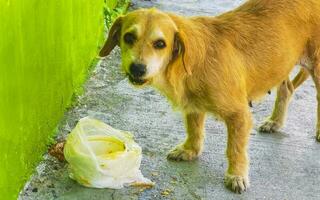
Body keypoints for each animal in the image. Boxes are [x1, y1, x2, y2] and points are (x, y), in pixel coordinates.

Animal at [99, 0, 320, 194]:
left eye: (160, 43)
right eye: (128, 37)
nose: (137, 68)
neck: (192, 61)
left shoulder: (239, 115)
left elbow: (235, 149)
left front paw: (236, 175)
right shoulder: (193, 107)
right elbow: (194, 130)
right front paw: (190, 150)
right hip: (281, 65)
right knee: (287, 89)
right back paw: (275, 122)